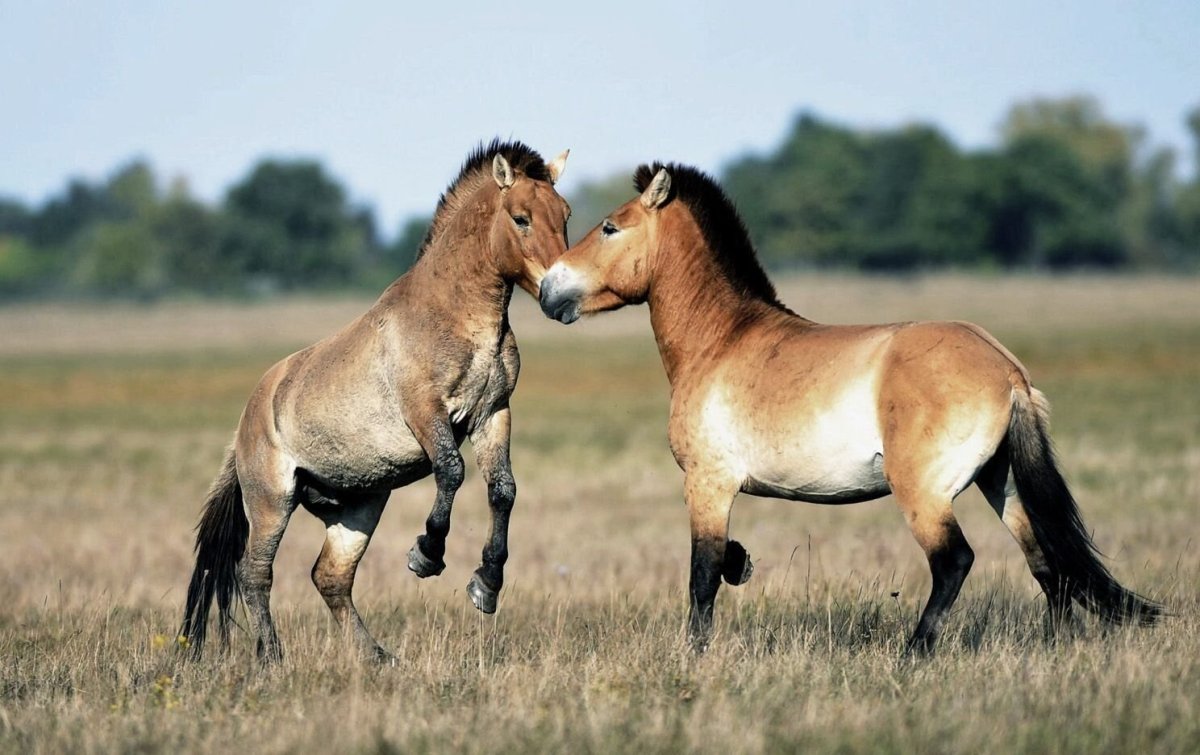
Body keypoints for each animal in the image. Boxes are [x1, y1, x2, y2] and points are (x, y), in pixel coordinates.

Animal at [180, 140, 571, 663]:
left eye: (565, 215)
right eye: (521, 217)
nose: (560, 296)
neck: (457, 317)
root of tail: (246, 421)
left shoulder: (492, 414)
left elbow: (503, 490)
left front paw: (486, 585)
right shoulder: (426, 413)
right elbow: (452, 472)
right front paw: (426, 554)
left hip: (358, 507)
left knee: (329, 577)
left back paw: (377, 656)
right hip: (271, 502)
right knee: (254, 574)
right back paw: (273, 658)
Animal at [538, 162, 1161, 652]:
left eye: (610, 227)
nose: (548, 289)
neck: (721, 341)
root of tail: (1008, 372)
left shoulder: (708, 484)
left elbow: (703, 577)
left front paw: (696, 654)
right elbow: (721, 568)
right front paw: (741, 568)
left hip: (925, 494)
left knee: (956, 562)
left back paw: (914, 654)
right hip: (1000, 481)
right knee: (1047, 563)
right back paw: (1054, 647)